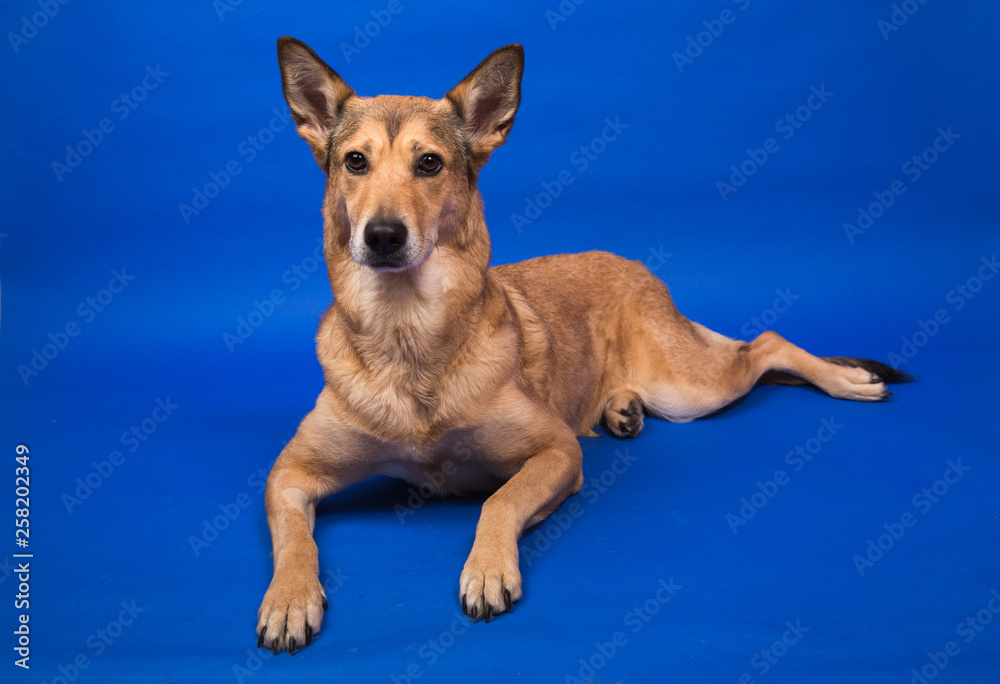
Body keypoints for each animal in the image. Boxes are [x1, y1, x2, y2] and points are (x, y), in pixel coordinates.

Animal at [254, 38, 912, 652]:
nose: (384, 236)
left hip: (689, 388)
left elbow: (499, 502)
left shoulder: (556, 452)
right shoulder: (289, 474)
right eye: (355, 161)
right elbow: (292, 538)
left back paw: (848, 380)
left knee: (767, 342)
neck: (408, 332)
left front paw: (487, 568)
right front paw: (288, 599)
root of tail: (634, 264)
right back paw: (621, 409)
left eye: (430, 164)